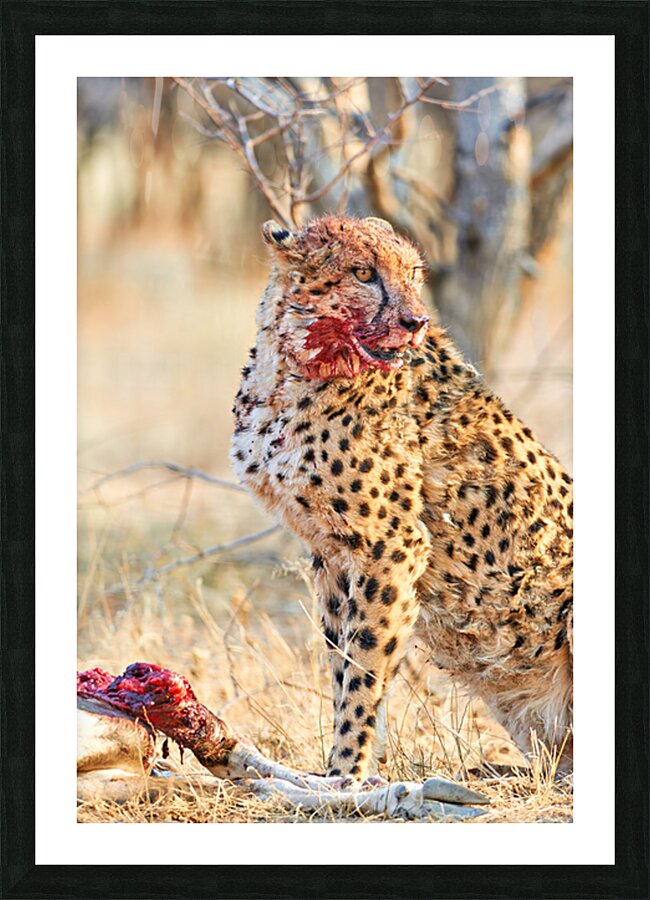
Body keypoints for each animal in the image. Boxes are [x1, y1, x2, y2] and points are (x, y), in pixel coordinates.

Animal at [231, 215, 573, 783]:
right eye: (363, 273)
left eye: (413, 272)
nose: (416, 320)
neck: (297, 365)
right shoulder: (330, 554)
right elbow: (341, 662)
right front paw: (340, 772)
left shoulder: (393, 545)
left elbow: (365, 668)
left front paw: (346, 775)